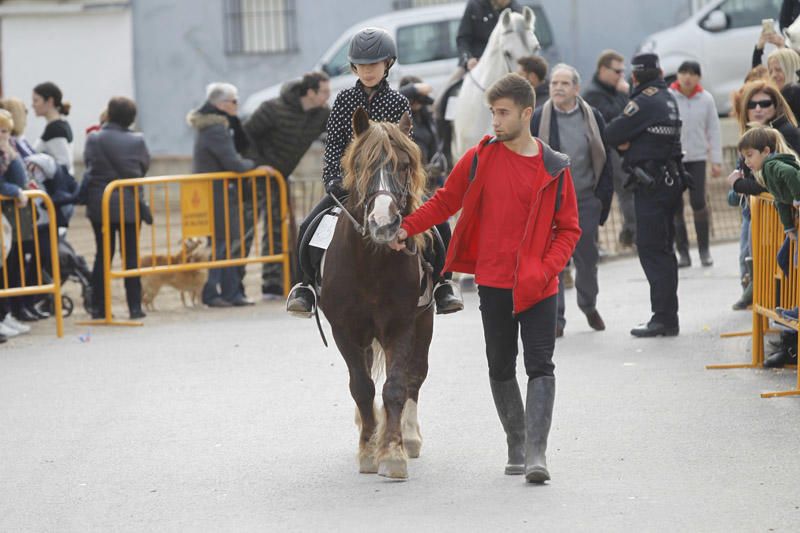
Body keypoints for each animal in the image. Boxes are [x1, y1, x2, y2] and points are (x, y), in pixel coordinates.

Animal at [318, 107, 432, 478]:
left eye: (405, 165)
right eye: (362, 164)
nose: (384, 224)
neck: (371, 263)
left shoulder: (401, 325)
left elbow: (395, 386)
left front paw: (393, 452)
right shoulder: (344, 330)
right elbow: (362, 386)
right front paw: (369, 449)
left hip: (425, 322)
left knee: (416, 376)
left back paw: (409, 437)